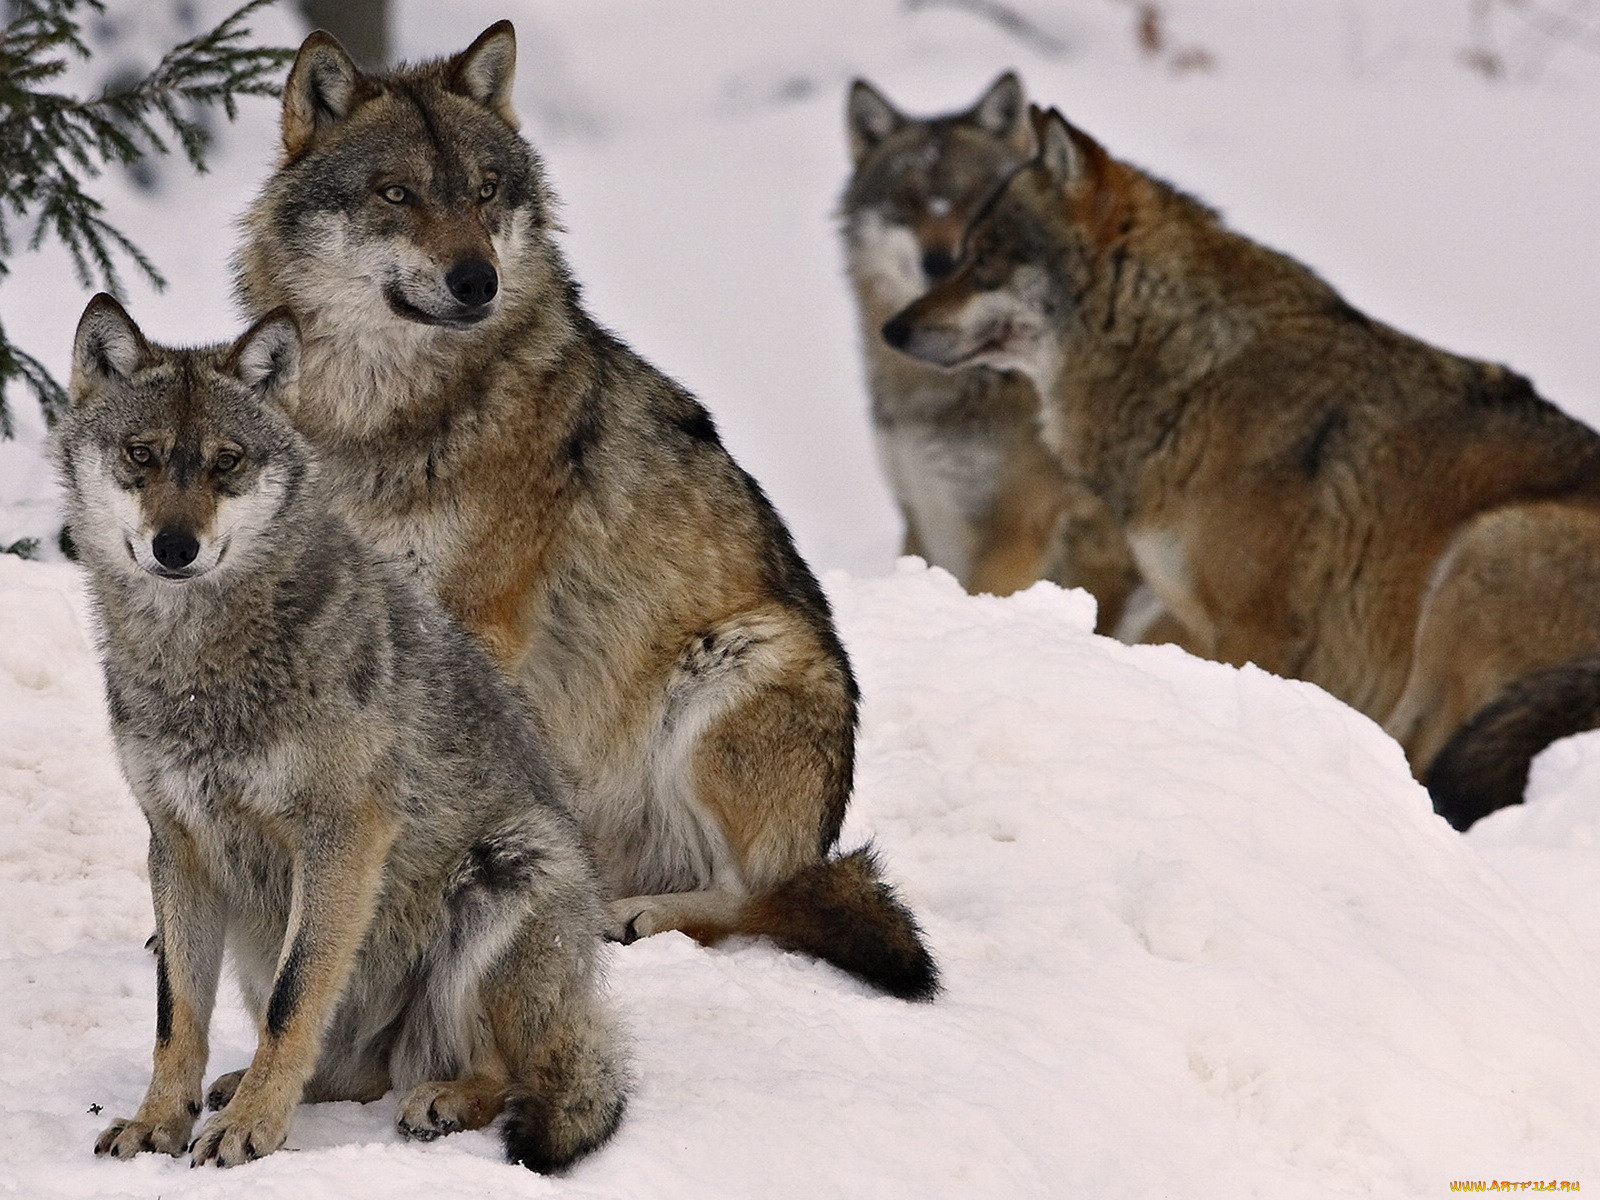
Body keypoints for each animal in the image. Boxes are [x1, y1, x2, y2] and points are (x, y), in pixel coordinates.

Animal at [60, 296, 624, 1171]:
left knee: (504, 1073)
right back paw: (252, 1088)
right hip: (260, 934)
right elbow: (176, 1016)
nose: (174, 547)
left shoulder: (343, 835)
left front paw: (251, 1132)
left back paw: (440, 1100)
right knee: (353, 1073)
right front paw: (160, 1122)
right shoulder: (177, 844)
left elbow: (294, 1001)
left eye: (227, 462)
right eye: (140, 455)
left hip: (510, 867)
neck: (200, 664)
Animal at [233, 23, 934, 998]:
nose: (477, 280)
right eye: (395, 194)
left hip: (738, 664)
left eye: (485, 190)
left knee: (762, 901)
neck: (379, 415)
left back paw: (633, 916)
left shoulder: (477, 622)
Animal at [889, 108, 1600, 832]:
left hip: (1485, 553)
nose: (893, 329)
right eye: (964, 255)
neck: (1197, 372)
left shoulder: (1257, 628)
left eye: (982, 260)